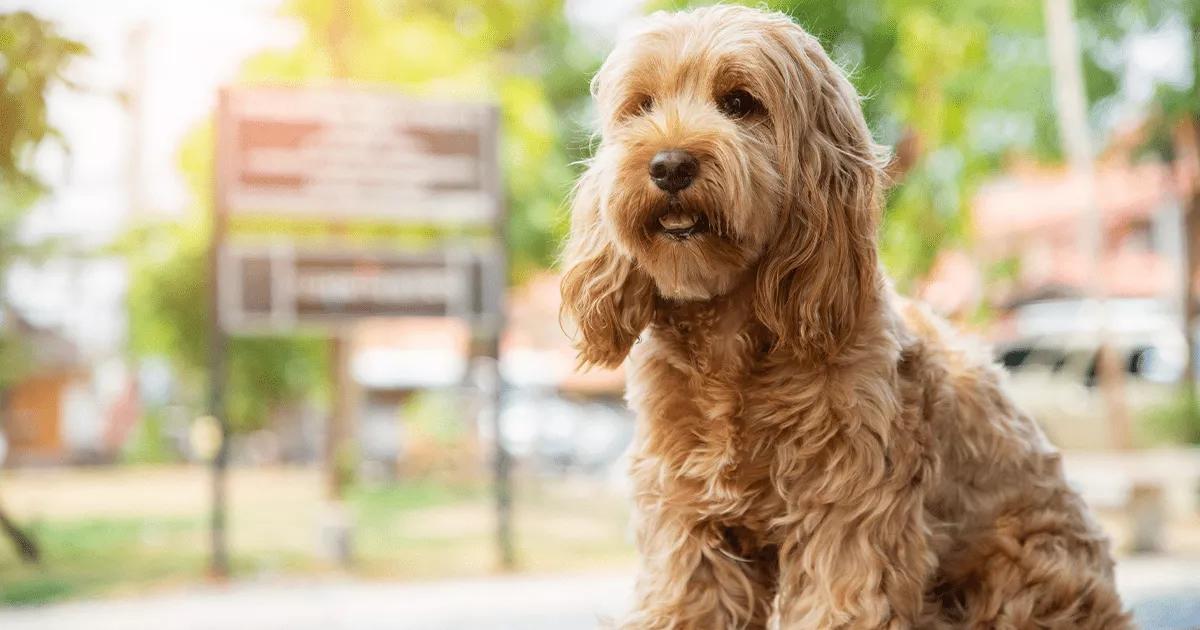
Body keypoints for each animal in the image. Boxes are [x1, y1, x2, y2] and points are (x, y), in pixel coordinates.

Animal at [556, 6, 1128, 628]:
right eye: (641, 106)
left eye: (739, 102)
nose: (668, 165)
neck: (733, 347)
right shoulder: (687, 521)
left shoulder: (850, 515)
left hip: (1023, 564)